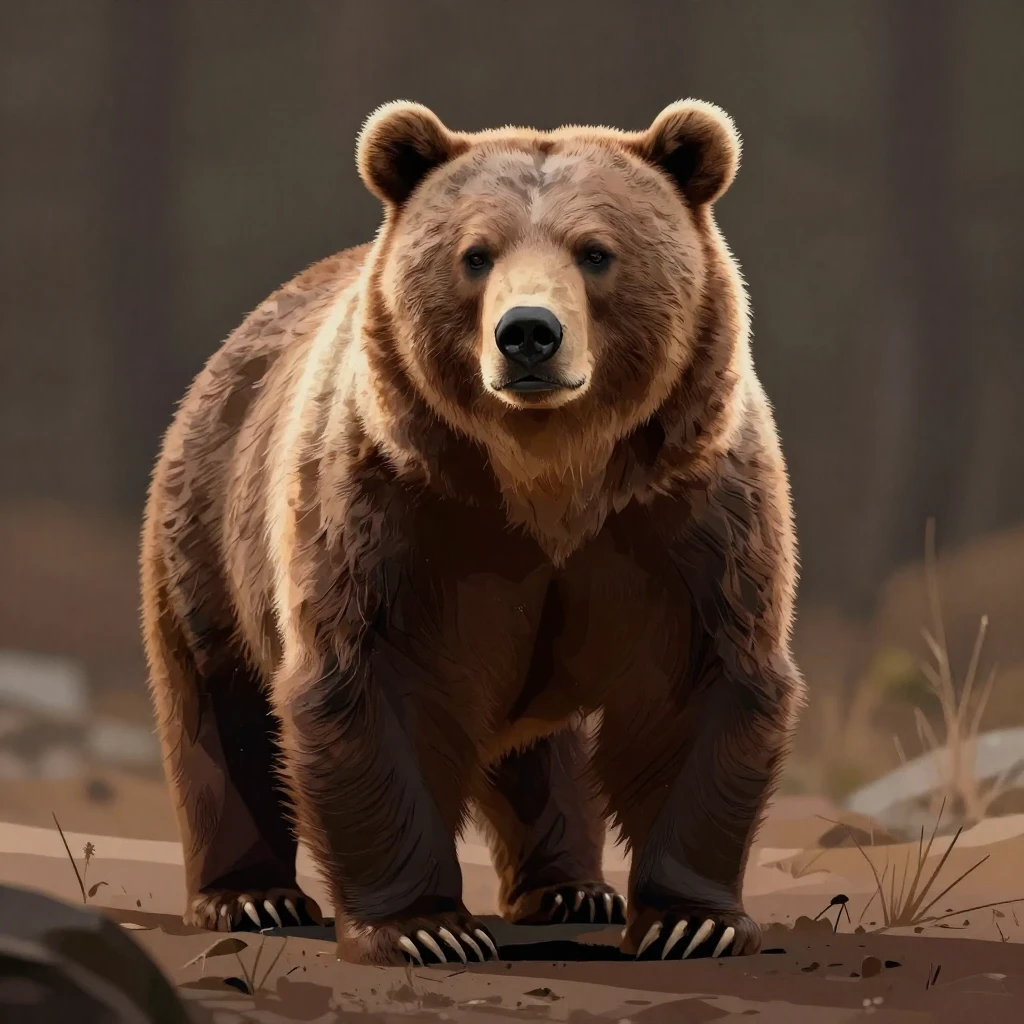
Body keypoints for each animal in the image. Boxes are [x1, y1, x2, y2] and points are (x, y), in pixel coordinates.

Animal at [140, 98, 804, 966]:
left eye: (596, 251)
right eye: (476, 255)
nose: (528, 333)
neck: (547, 474)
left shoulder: (689, 512)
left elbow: (706, 684)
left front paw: (694, 921)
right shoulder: (393, 510)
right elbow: (366, 684)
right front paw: (425, 927)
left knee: (541, 750)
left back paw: (570, 888)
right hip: (210, 526)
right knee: (223, 702)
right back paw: (250, 897)